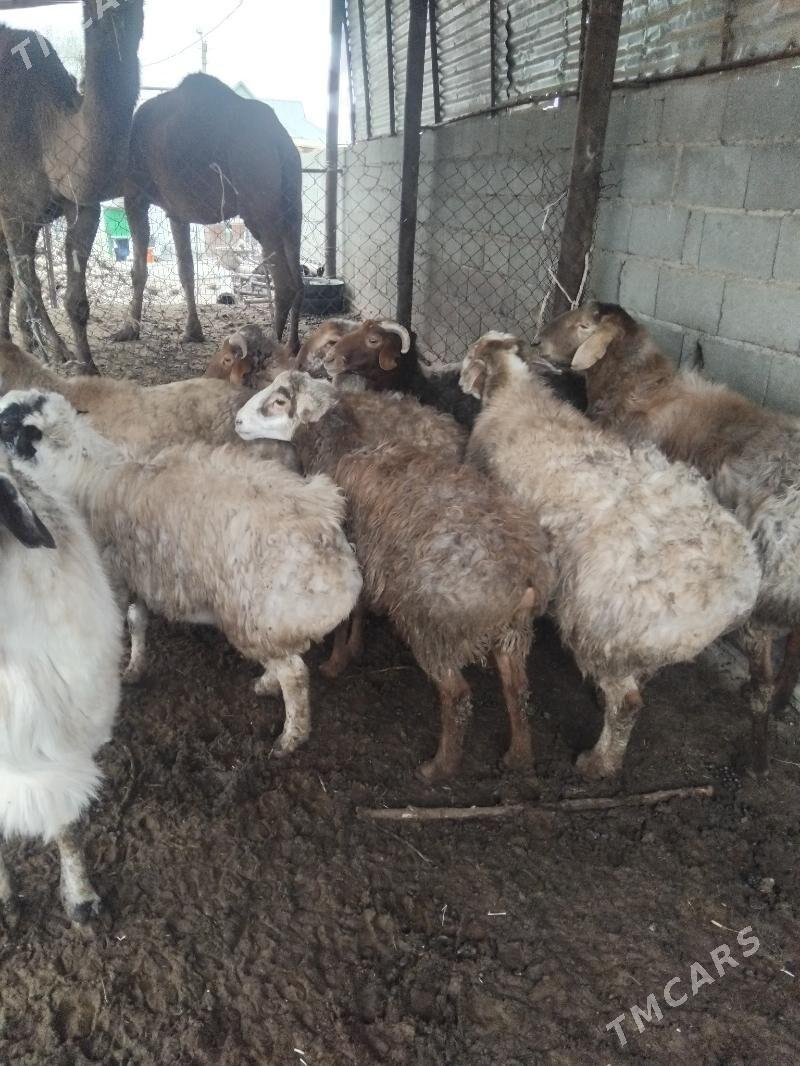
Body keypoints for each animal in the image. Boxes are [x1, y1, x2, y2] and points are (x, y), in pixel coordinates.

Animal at [0, 1, 144, 374]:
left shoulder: (83, 208)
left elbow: (74, 300)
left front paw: (87, 365)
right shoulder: (14, 214)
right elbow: (32, 290)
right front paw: (57, 354)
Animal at [0, 389, 363, 758]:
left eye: (5, 422)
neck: (81, 471)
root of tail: (338, 553)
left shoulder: (113, 578)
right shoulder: (136, 571)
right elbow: (138, 622)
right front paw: (135, 667)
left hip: (255, 620)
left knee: (295, 674)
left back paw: (290, 736)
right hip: (273, 622)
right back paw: (267, 686)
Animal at [112, 74, 304, 351]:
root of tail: (280, 140)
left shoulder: (134, 195)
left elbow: (138, 270)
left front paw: (128, 330)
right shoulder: (176, 211)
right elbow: (186, 271)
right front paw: (193, 332)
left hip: (257, 191)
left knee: (284, 284)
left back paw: (271, 346)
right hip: (292, 202)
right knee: (299, 281)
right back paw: (293, 345)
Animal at [235, 371, 555, 782]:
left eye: (279, 401)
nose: (238, 422)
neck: (343, 451)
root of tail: (527, 576)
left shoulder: (351, 548)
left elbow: (347, 616)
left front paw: (335, 663)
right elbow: (358, 610)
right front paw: (353, 650)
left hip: (433, 626)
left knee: (458, 696)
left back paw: (439, 767)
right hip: (514, 634)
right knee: (518, 690)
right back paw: (518, 756)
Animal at [459, 332, 762, 780]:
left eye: (472, 355)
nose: (460, 380)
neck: (517, 397)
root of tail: (726, 594)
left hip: (599, 625)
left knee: (628, 703)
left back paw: (598, 762)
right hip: (631, 637)